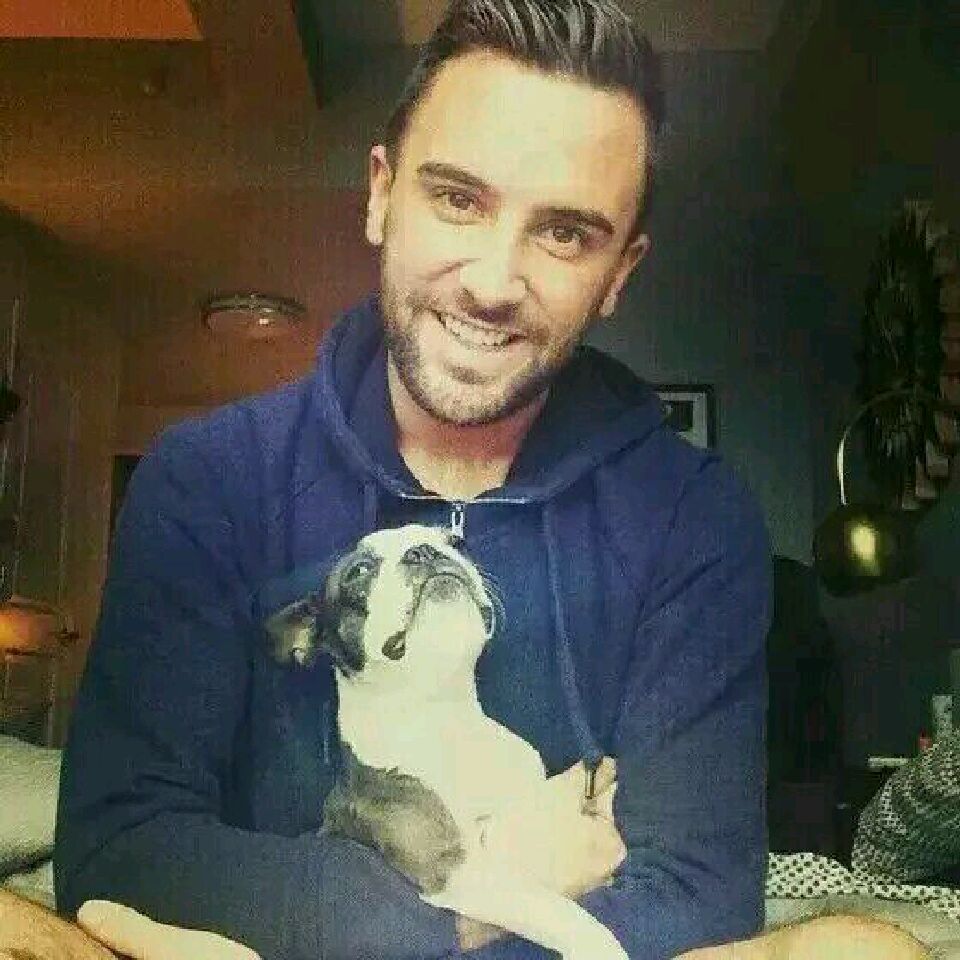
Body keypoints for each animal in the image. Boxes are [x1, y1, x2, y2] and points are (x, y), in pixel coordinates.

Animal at [266, 523, 627, 960]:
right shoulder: (456, 869)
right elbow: (558, 911)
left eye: (455, 542)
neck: (443, 716)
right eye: (359, 571)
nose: (424, 551)